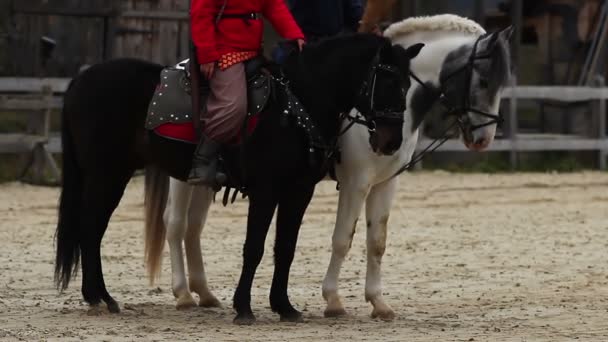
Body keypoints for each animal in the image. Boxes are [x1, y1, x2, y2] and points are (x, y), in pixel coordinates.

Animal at [55, 32, 422, 324]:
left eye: (407, 86)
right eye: (387, 82)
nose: (390, 142)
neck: (296, 106)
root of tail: (81, 79)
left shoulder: (299, 191)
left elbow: (286, 247)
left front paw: (284, 306)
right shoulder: (269, 190)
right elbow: (255, 246)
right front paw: (244, 306)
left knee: (104, 228)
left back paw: (107, 296)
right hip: (107, 173)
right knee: (98, 226)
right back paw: (106, 297)